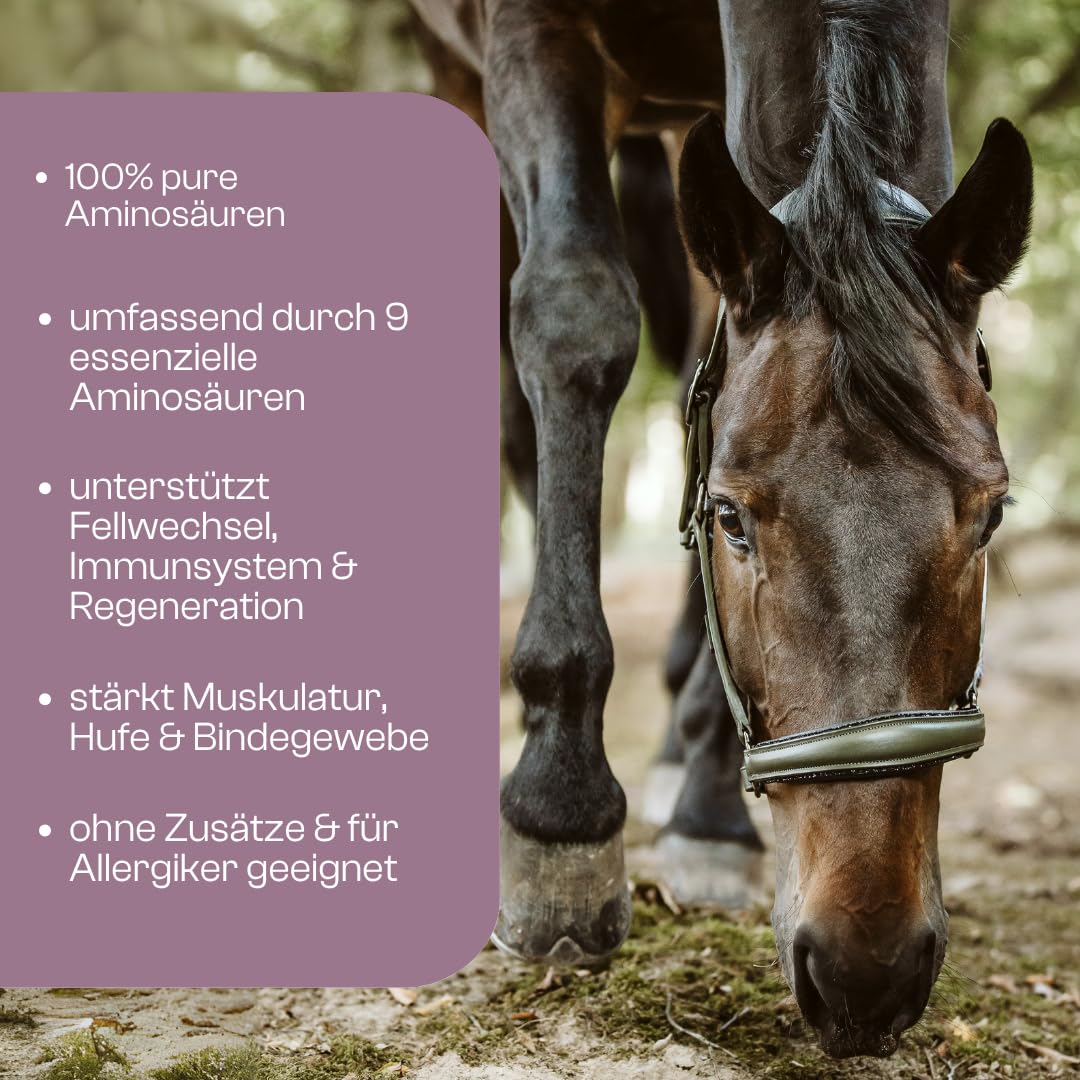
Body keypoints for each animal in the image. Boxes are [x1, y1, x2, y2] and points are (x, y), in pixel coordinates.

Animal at [409, 0, 1033, 1058]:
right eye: (730, 516)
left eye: (991, 515)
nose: (866, 967)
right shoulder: (528, 38)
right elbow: (574, 319)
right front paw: (559, 809)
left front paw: (708, 811)